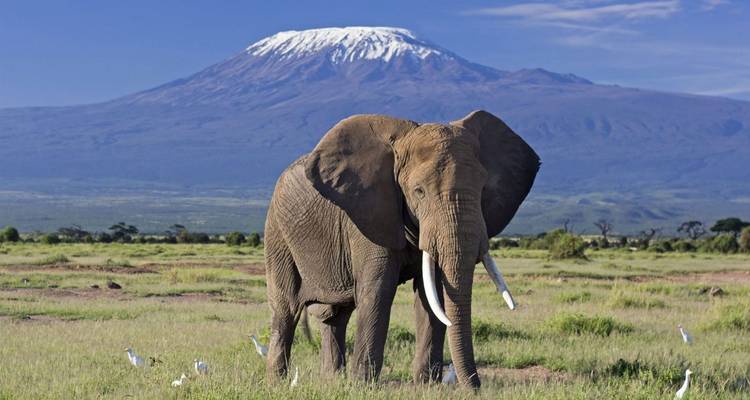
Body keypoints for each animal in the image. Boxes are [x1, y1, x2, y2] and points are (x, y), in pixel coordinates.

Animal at [263, 110, 539, 388]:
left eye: (483, 189)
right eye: (419, 192)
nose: (475, 389)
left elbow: (432, 294)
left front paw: (427, 386)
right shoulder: (369, 215)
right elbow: (378, 290)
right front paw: (364, 386)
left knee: (335, 315)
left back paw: (332, 381)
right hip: (277, 233)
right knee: (286, 308)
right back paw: (278, 383)